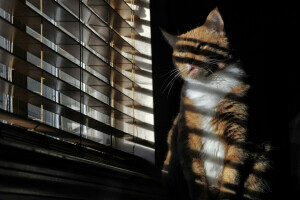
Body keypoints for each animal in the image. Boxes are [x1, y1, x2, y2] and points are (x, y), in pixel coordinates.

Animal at [162, 7, 272, 198]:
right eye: (181, 53)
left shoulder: (238, 134)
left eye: (200, 46)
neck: (209, 84)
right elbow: (197, 179)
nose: (189, 62)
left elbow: (231, 176)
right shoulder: (188, 137)